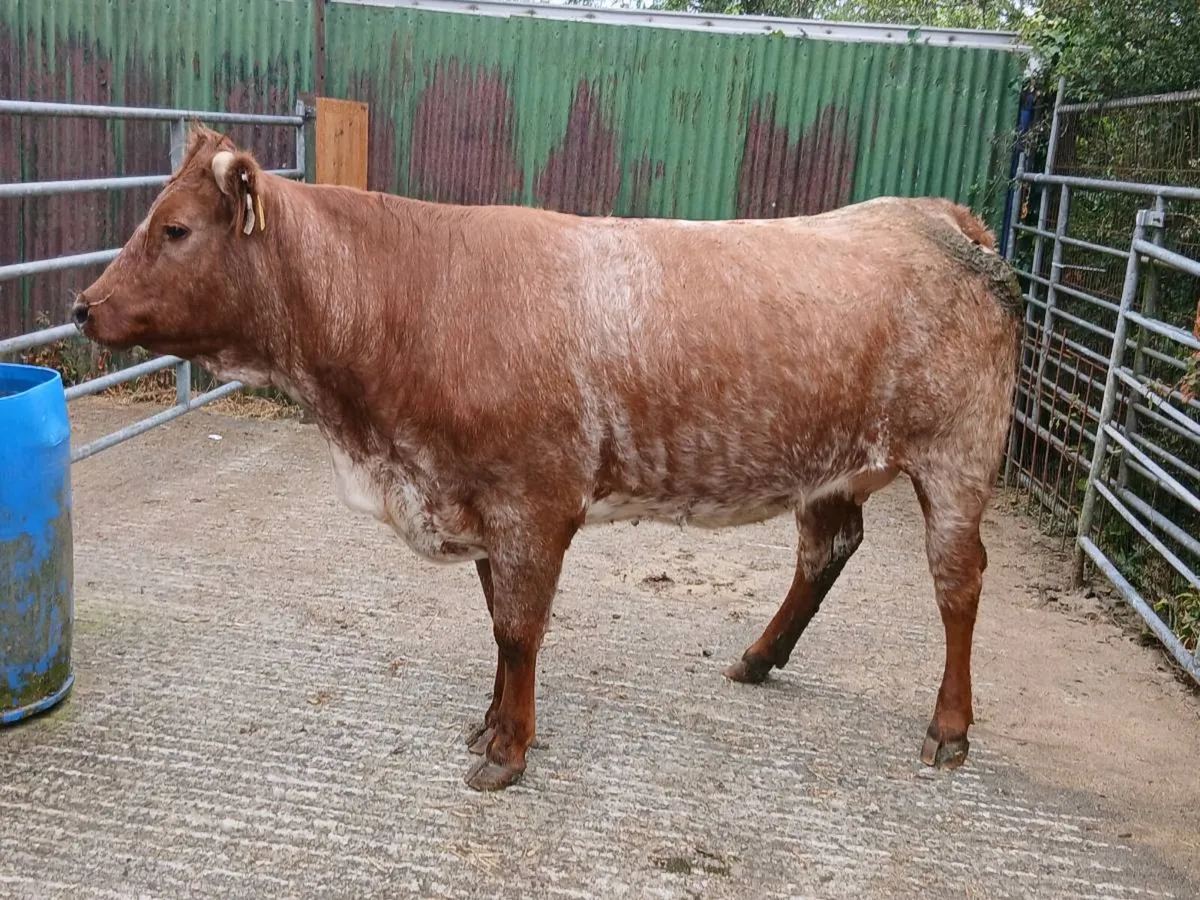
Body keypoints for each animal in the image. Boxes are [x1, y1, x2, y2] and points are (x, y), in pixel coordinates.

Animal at [73, 125, 1022, 792]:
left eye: (176, 229)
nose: (83, 306)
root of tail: (940, 216)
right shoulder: (478, 499)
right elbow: (497, 621)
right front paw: (490, 723)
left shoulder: (532, 503)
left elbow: (518, 629)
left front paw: (509, 751)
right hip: (832, 464)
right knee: (827, 550)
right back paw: (758, 659)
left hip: (958, 454)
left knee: (959, 582)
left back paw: (949, 727)